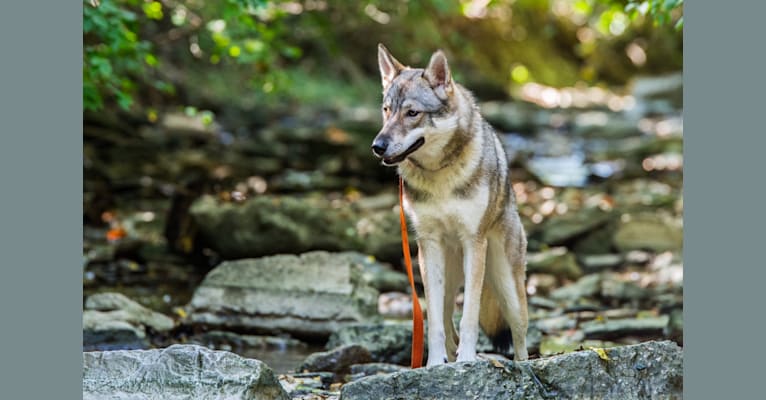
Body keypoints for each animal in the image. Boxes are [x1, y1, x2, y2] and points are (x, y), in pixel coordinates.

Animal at [374, 43, 532, 366]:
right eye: (387, 110)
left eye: (412, 113)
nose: (377, 146)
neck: (439, 175)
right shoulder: (428, 246)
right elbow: (434, 323)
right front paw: (434, 365)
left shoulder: (474, 242)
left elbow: (469, 316)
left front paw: (467, 360)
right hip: (445, 278)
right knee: (447, 323)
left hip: (506, 286)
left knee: (520, 334)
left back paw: (524, 364)